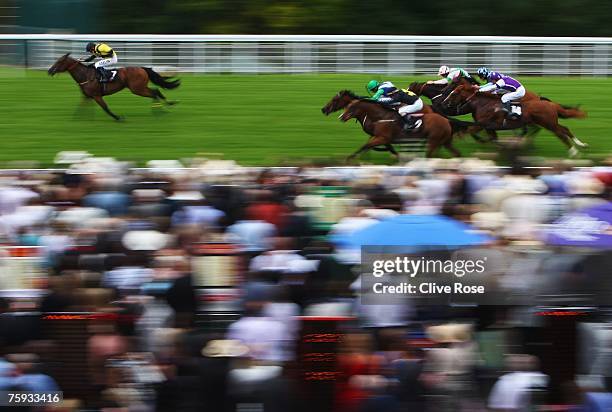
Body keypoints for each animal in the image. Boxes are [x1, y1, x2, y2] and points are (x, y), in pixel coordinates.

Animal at [47, 54, 179, 120]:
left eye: (59, 62)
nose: (50, 71)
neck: (85, 75)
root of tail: (142, 68)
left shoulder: (97, 95)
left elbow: (105, 108)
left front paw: (117, 117)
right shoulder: (88, 96)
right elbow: (82, 107)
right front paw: (77, 119)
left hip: (137, 89)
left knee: (154, 92)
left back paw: (159, 110)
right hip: (139, 88)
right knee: (156, 90)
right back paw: (167, 105)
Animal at [320, 90, 474, 161]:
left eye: (334, 100)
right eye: (346, 107)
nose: (323, 109)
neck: (380, 116)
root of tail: (446, 120)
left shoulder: (382, 137)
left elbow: (368, 145)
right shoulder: (378, 136)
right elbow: (371, 146)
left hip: (433, 140)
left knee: (430, 154)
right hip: (445, 141)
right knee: (455, 153)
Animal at [440, 83, 588, 156]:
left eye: (455, 93)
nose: (444, 103)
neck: (483, 103)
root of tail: (551, 104)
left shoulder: (482, 124)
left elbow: (468, 131)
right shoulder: (488, 126)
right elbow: (493, 139)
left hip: (548, 123)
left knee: (561, 134)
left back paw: (573, 151)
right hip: (548, 122)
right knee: (565, 129)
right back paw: (581, 145)